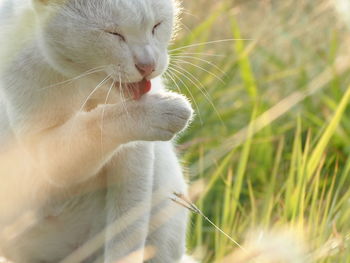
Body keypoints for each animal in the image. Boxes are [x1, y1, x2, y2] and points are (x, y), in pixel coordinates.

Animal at [0, 0, 196, 263]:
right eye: (113, 34)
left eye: (157, 26)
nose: (148, 65)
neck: (81, 81)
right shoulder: (44, 151)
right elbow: (96, 125)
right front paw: (161, 111)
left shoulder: (136, 157)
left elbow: (126, 232)